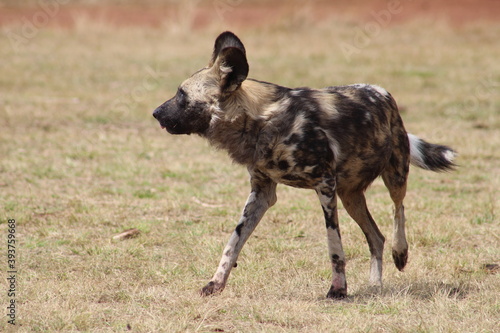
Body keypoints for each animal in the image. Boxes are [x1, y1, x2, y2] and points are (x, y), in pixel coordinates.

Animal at [153, 30, 458, 296]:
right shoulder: (262, 193)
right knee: (375, 237)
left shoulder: (324, 185)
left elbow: (334, 246)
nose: (155, 112)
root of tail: (382, 92)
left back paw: (400, 252)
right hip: (350, 197)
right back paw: (375, 285)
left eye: (181, 95)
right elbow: (233, 243)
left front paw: (338, 290)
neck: (263, 122)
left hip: (393, 175)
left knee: (398, 209)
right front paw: (215, 283)